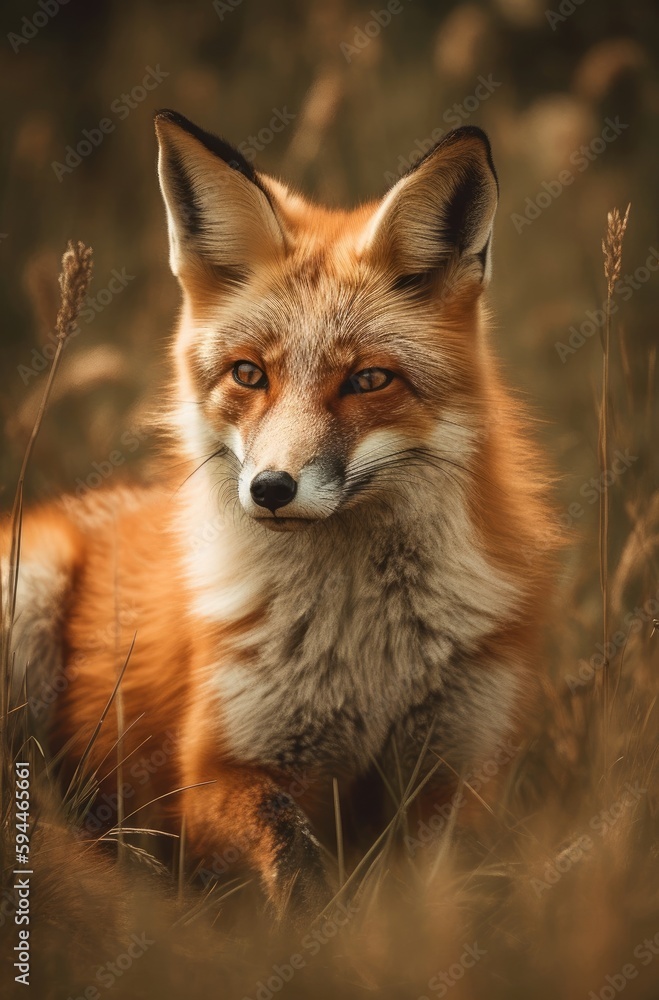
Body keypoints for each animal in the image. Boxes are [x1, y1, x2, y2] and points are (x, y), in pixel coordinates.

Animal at [2, 110, 555, 919]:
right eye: (248, 374)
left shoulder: (463, 767)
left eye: (368, 380)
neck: (363, 654)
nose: (269, 488)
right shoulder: (218, 770)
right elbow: (292, 857)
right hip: (30, 590)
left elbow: (451, 885)